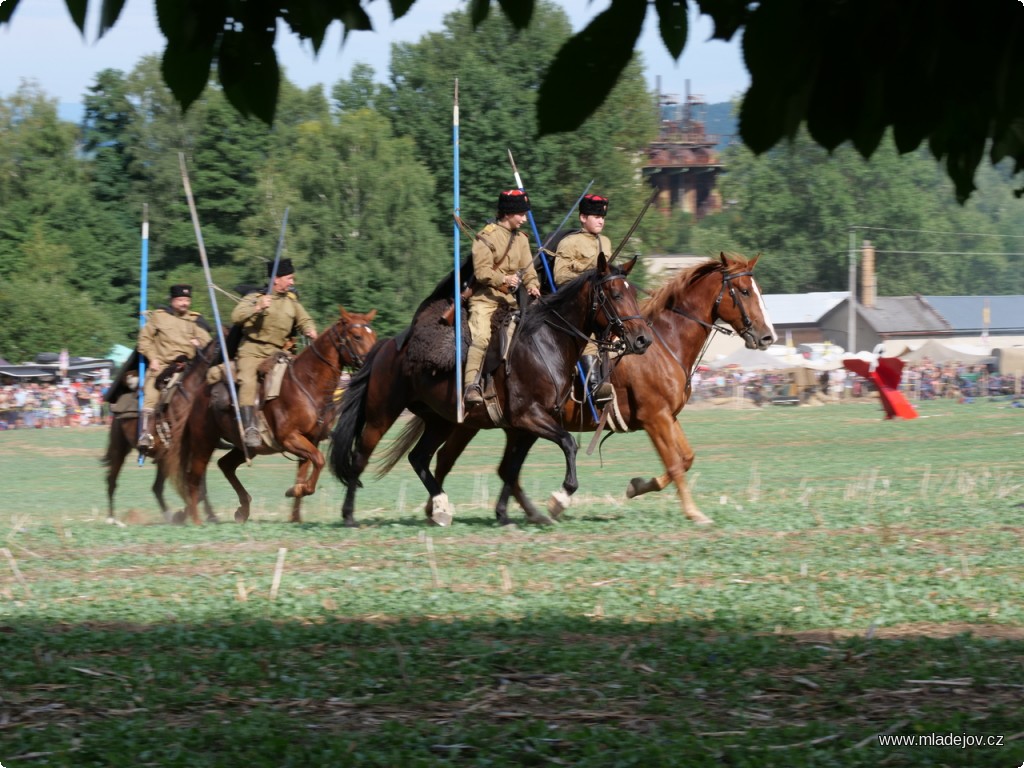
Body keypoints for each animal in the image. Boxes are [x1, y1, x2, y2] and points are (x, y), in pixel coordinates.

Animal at [165, 309, 378, 528]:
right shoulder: (290, 438)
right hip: (204, 443)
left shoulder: (311, 440)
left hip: (246, 448)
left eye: (374, 335)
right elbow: (319, 461)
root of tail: (198, 395)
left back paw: (242, 509)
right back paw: (197, 520)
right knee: (194, 478)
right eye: (357, 336)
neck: (307, 384)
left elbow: (305, 471)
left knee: (225, 465)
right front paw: (297, 491)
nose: (373, 360)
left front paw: (296, 512)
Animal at [327, 252, 647, 528]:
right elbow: (567, 444)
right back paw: (349, 515)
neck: (546, 341)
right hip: (381, 416)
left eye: (633, 294)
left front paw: (505, 513)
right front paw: (560, 498)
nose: (643, 339)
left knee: (419, 458)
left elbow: (511, 468)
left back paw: (441, 507)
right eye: (616, 295)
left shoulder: (525, 428)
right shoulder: (529, 417)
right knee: (360, 458)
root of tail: (389, 345)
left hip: (441, 421)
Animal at [393, 252, 774, 528]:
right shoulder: (656, 418)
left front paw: (638, 486)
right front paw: (693, 512)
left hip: (494, 426)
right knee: (449, 460)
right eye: (743, 291)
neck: (667, 343)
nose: (767, 336)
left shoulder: (669, 418)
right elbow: (677, 464)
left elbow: (687, 458)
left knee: (483, 467)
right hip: (477, 423)